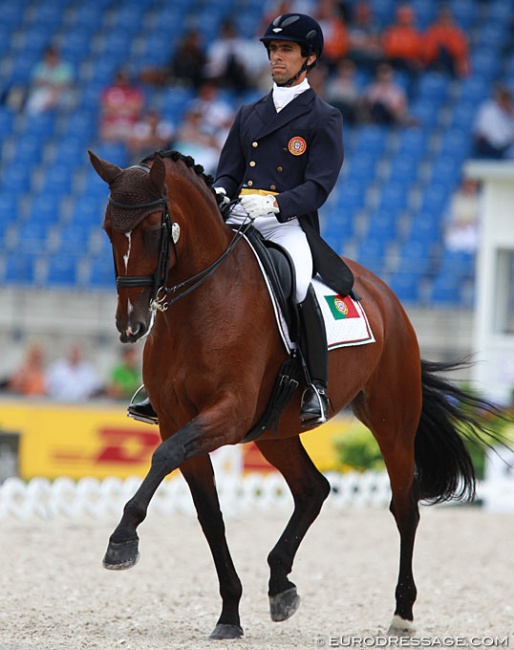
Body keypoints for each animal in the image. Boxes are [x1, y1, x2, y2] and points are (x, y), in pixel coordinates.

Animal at [87, 149, 500, 640]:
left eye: (153, 229)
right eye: (108, 229)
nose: (130, 325)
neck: (200, 302)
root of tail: (385, 295)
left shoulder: (228, 412)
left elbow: (164, 457)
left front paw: (121, 540)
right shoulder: (176, 418)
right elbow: (209, 514)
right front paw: (229, 615)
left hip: (392, 423)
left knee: (404, 507)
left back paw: (402, 612)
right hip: (275, 432)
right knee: (313, 489)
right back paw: (280, 585)